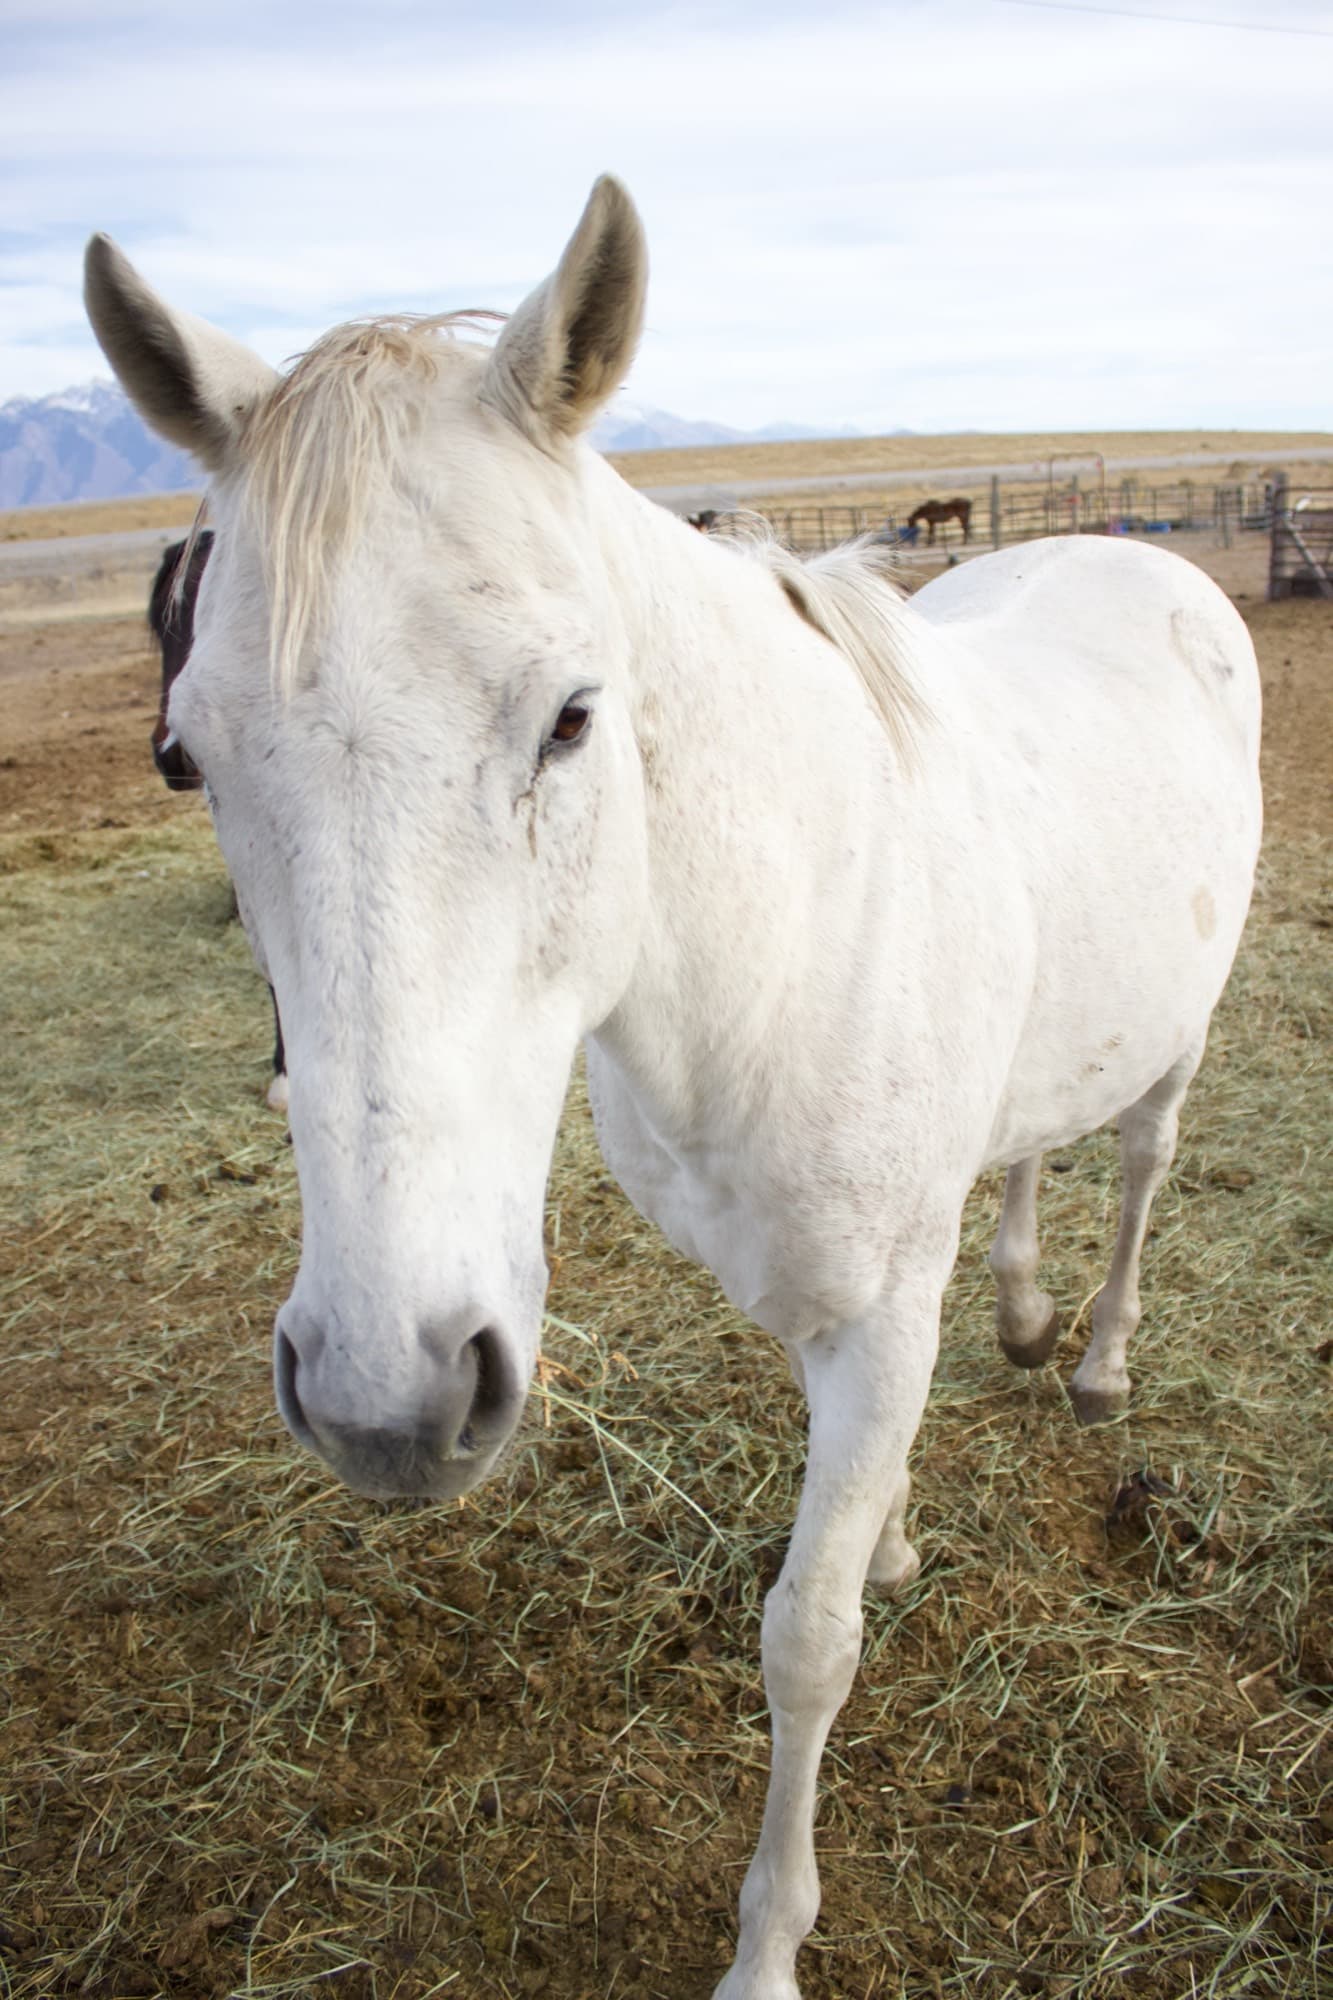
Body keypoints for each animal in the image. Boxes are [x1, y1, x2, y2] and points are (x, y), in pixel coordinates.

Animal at [85, 177, 1261, 2000]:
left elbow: (807, 1637)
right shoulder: (827, 1284)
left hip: (1179, 1038)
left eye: (573, 718)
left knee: (1139, 1163)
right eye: (190, 753)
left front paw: (767, 1944)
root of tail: (1141, 555)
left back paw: (1096, 1361)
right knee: (1025, 1158)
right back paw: (1016, 1307)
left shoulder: (871, 1311)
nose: (384, 1394)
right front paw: (900, 1515)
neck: (773, 941)